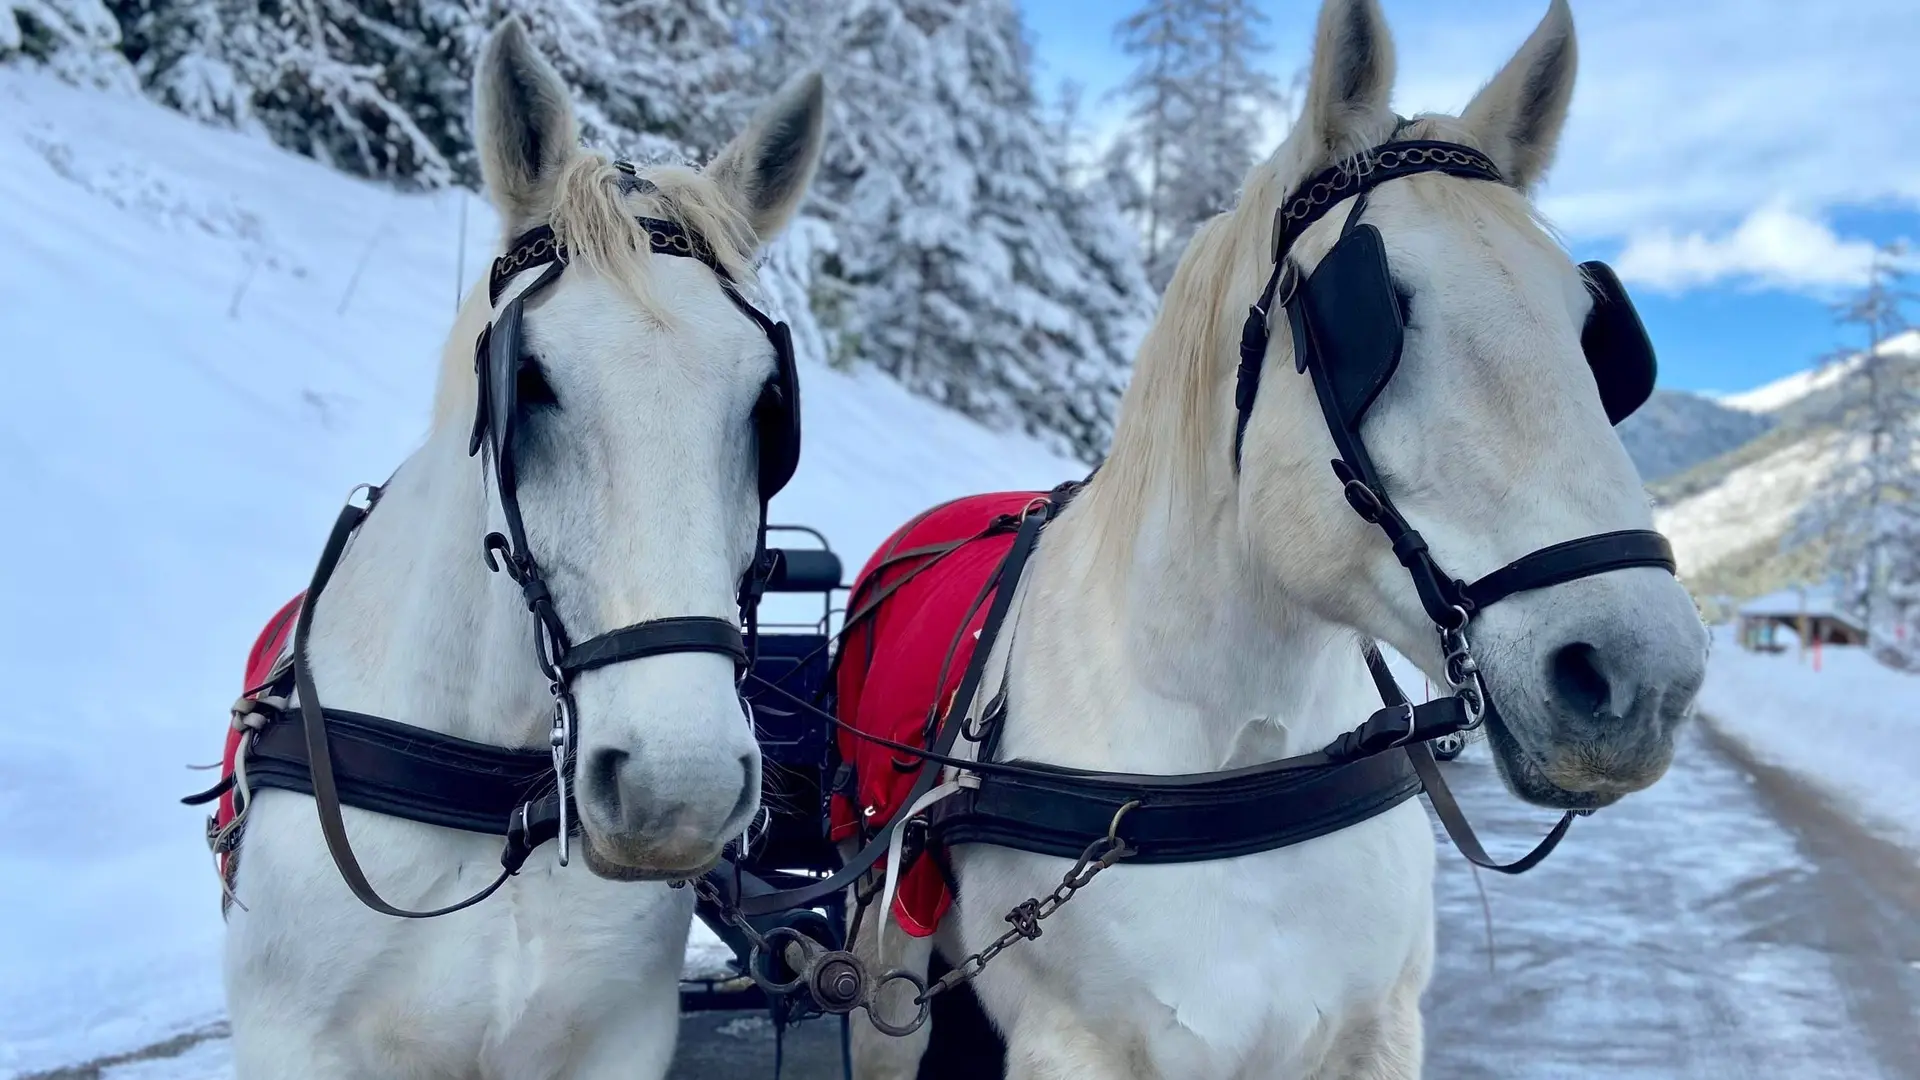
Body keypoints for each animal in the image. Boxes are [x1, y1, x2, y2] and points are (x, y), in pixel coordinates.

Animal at [856, 0, 1712, 1068]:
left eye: (1593, 329)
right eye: (1376, 307)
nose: (1642, 677)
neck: (1237, 764)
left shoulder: (1376, 1030)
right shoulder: (1070, 1043)